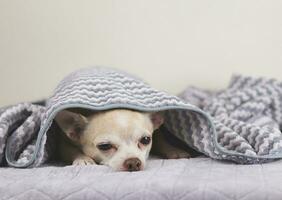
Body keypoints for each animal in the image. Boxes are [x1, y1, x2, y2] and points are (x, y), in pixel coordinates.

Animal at [54, 108, 192, 171]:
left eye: (146, 140)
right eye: (104, 146)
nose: (133, 162)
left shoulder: (156, 133)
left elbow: (161, 141)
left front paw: (174, 150)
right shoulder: (63, 143)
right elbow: (71, 150)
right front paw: (83, 159)